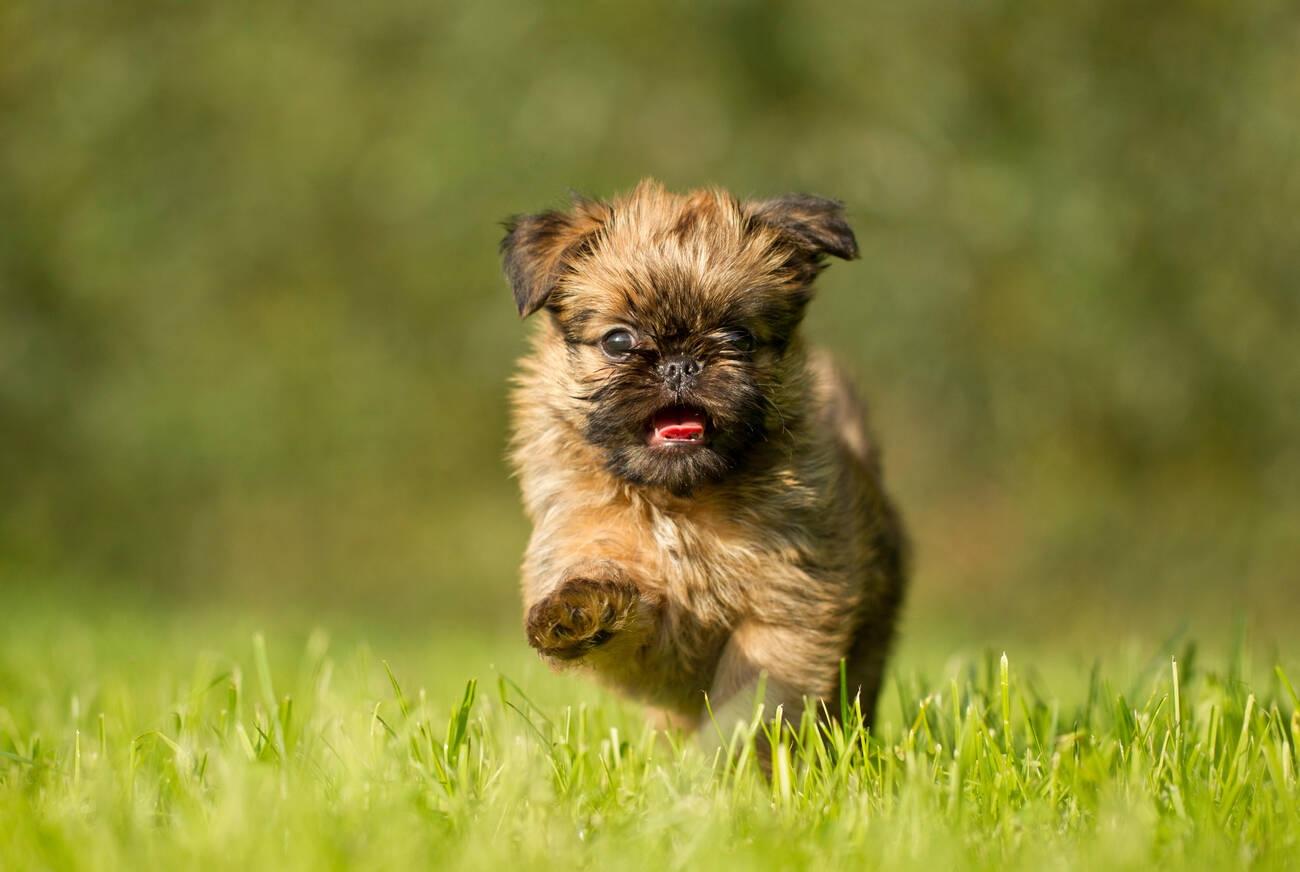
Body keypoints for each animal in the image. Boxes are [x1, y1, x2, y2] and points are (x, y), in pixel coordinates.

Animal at [501, 179, 909, 738]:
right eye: (618, 341)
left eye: (739, 337)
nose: (679, 363)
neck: (682, 503)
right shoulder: (594, 550)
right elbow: (604, 589)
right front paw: (579, 610)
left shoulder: (788, 608)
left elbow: (750, 702)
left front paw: (733, 755)